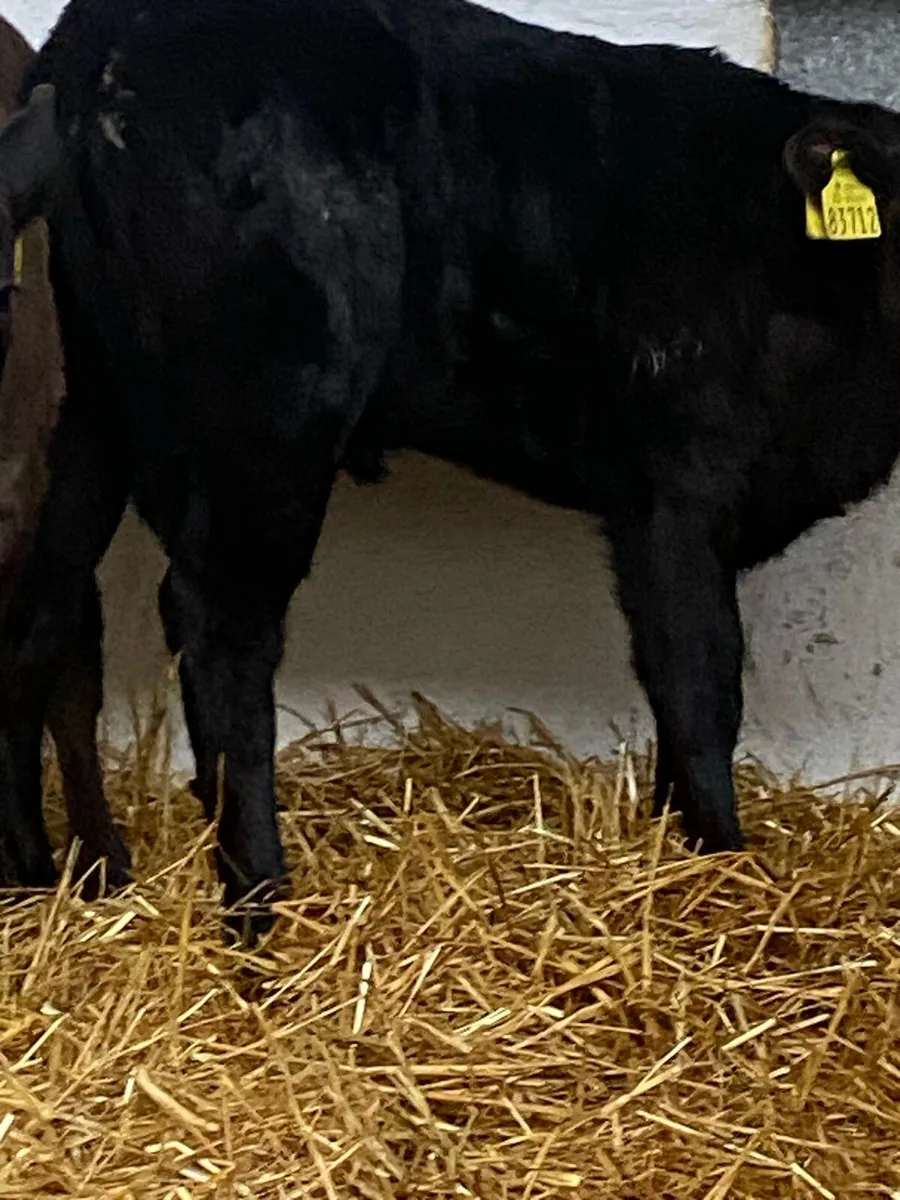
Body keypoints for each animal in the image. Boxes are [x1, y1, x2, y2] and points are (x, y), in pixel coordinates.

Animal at [1, 0, 900, 942]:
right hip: (270, 413)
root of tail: (103, 38)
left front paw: (670, 837)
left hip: (85, 407)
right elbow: (701, 680)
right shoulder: (678, 494)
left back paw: (44, 866)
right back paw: (257, 900)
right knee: (219, 628)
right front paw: (720, 864)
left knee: (43, 614)